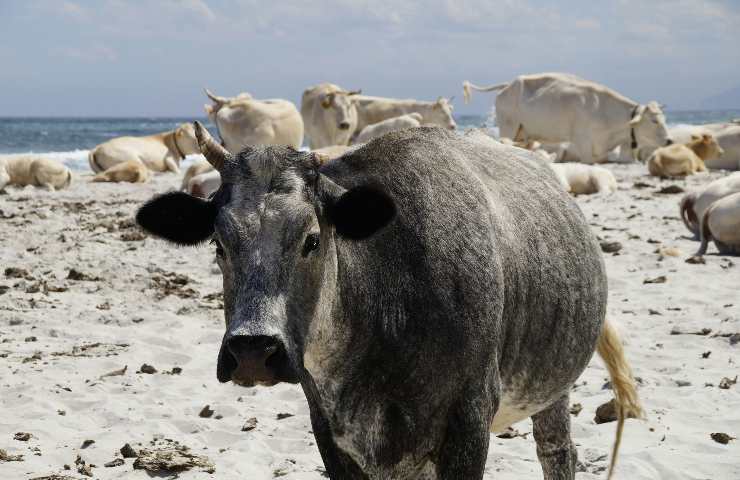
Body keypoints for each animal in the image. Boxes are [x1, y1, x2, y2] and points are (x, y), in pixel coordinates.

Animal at [137, 123, 640, 480]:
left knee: (557, 454)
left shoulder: (470, 419)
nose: (253, 352)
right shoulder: (331, 432)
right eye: (218, 244)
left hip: (553, 391)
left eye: (312, 240)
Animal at [466, 72, 672, 164]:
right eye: (654, 120)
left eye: (664, 118)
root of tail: (508, 85)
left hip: (523, 133)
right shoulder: (583, 142)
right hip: (508, 126)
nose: (670, 140)